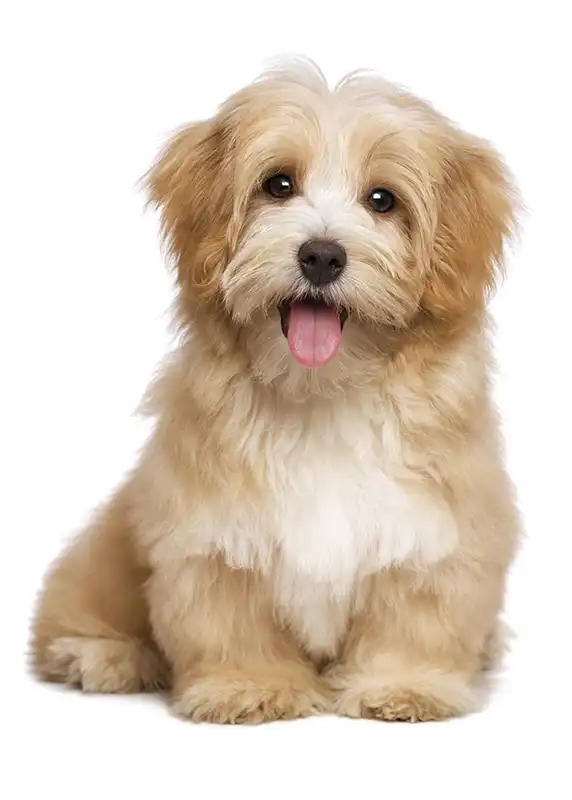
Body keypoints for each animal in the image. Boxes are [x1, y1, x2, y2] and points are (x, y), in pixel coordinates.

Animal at [31, 61, 524, 724]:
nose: (321, 255)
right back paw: (104, 656)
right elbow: (229, 618)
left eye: (383, 200)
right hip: (107, 548)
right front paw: (248, 686)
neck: (322, 394)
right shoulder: (209, 534)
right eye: (278, 184)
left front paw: (404, 685)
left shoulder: (435, 532)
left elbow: (416, 619)